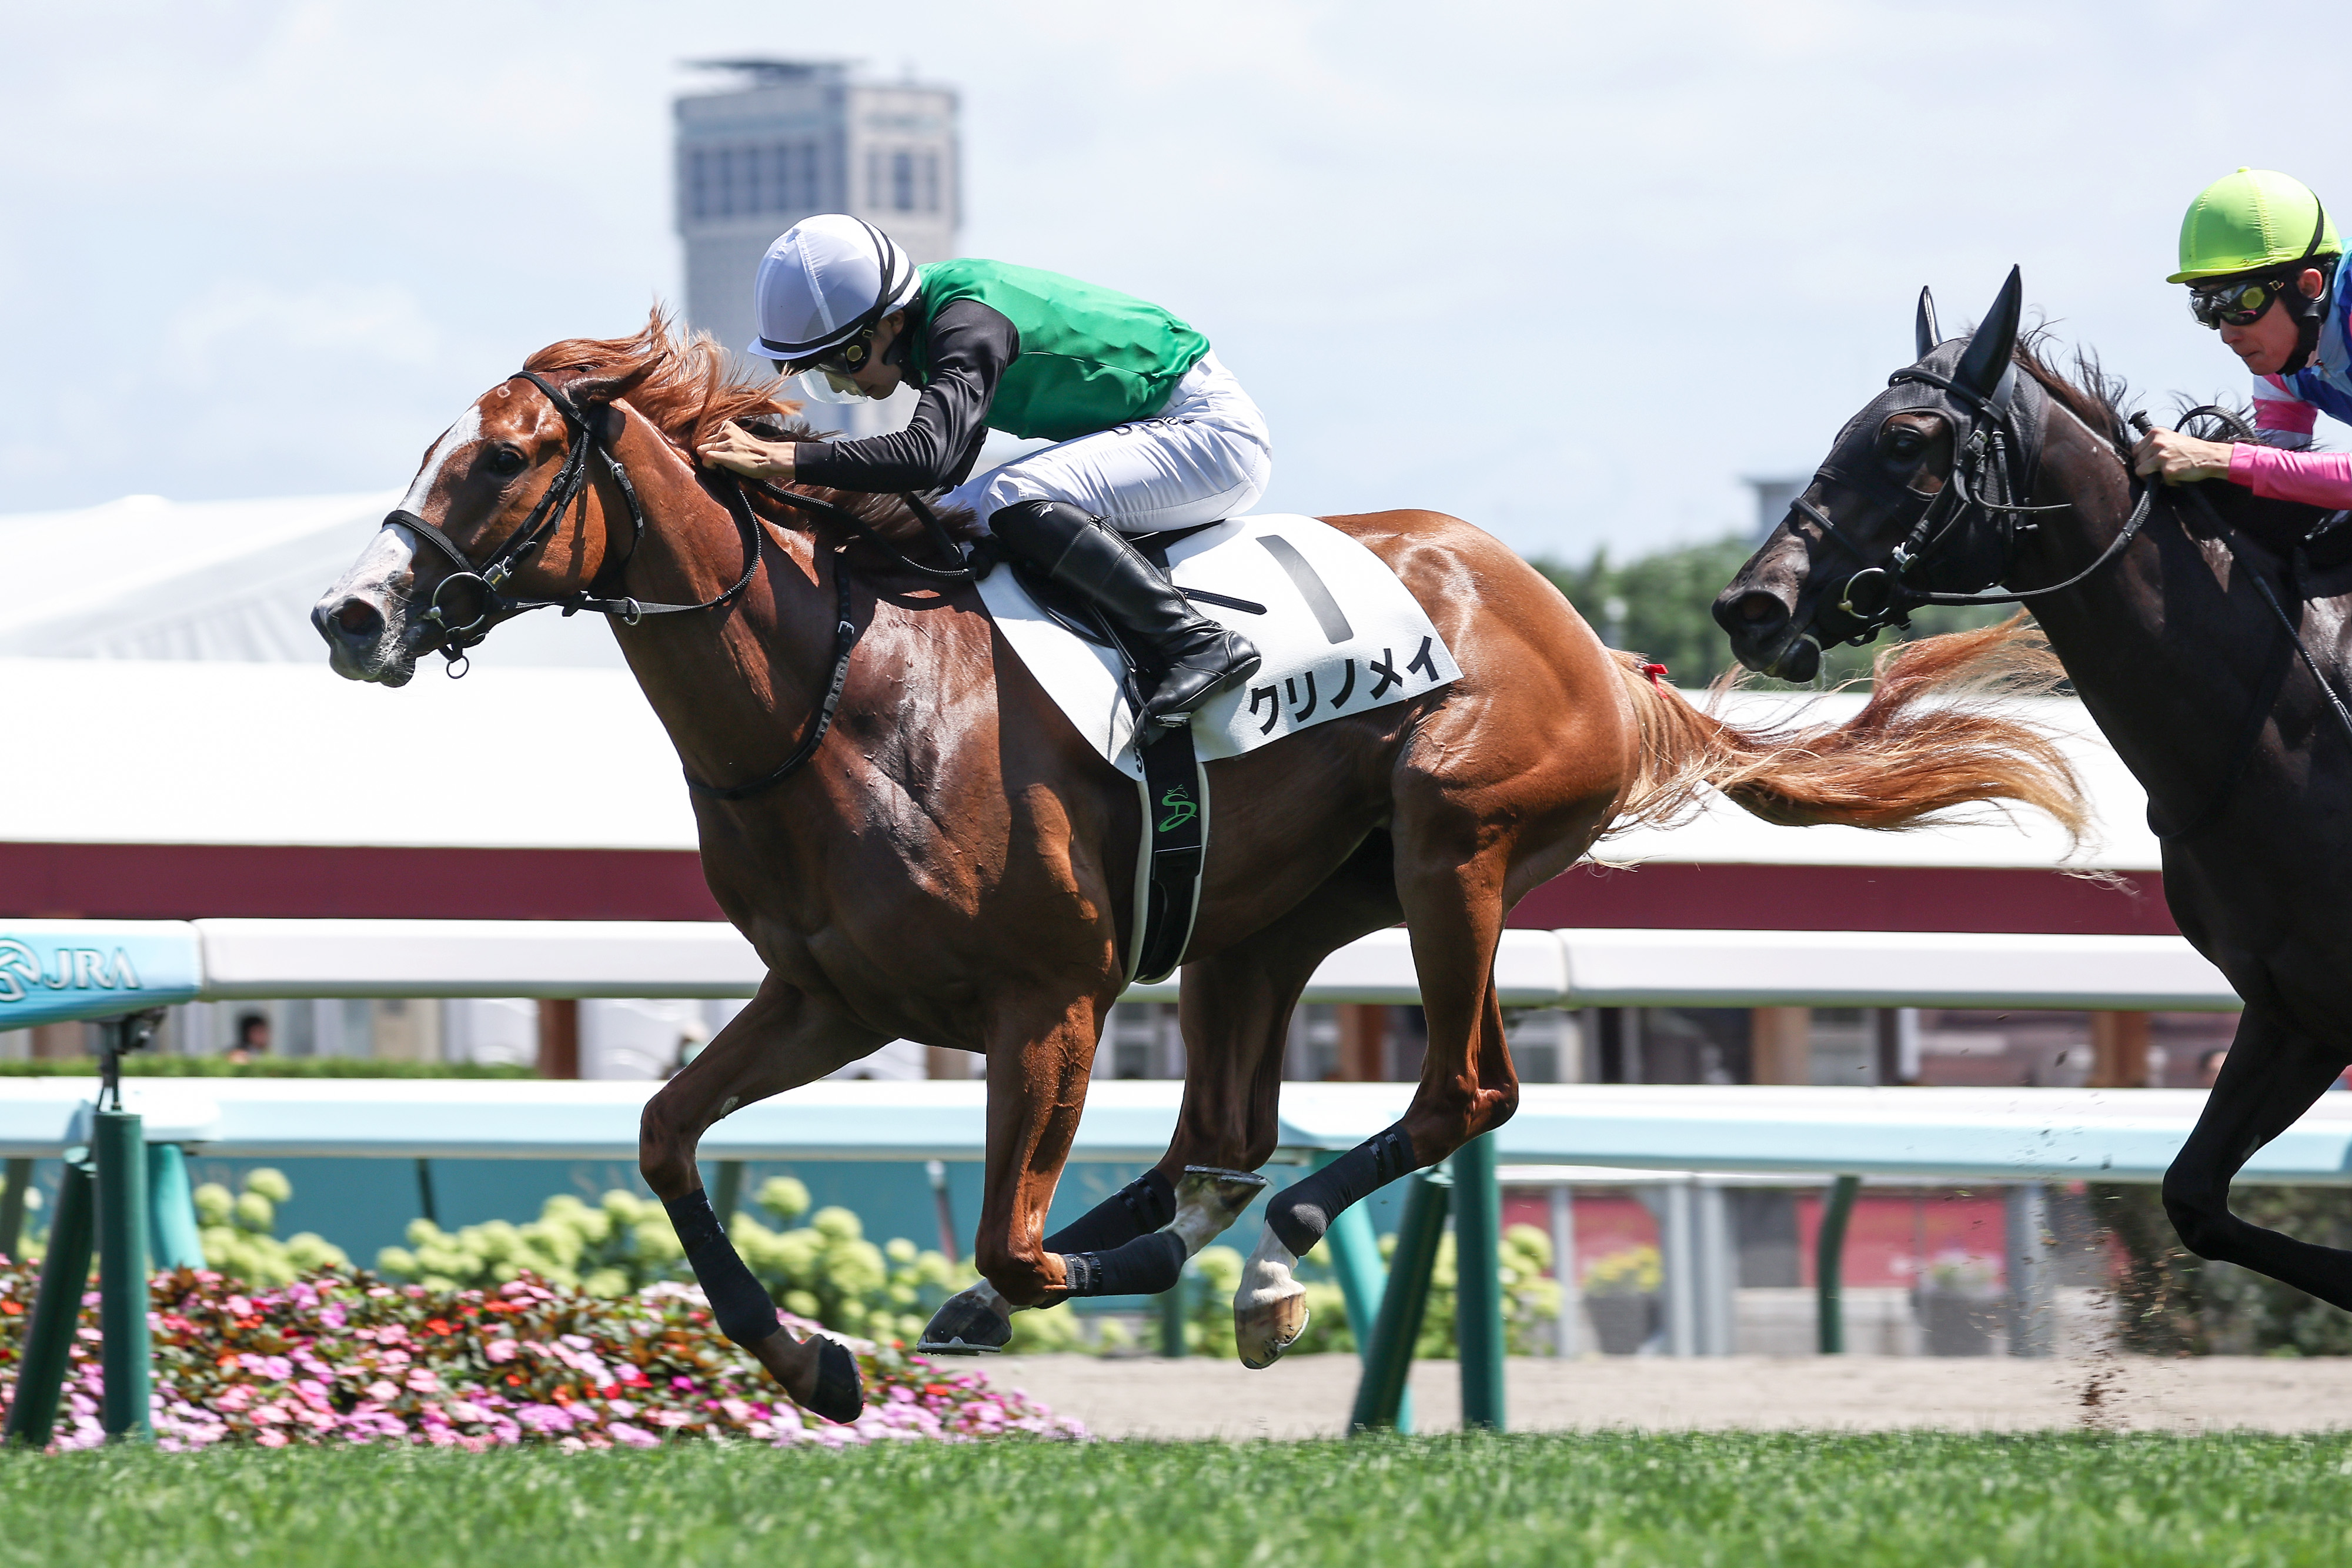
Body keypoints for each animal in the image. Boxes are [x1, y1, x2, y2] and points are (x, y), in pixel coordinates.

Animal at [315, 311, 2085, 1423]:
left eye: (504, 456)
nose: (350, 615)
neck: (838, 693)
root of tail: (1592, 641)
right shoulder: (833, 994)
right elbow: (667, 1134)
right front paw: (810, 1359)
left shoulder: (1050, 1000)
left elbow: (1013, 1235)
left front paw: (1056, 1287)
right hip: (1261, 925)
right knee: (1225, 1132)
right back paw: (1219, 1254)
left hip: (1456, 846)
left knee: (1456, 1093)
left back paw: (1267, 1258)